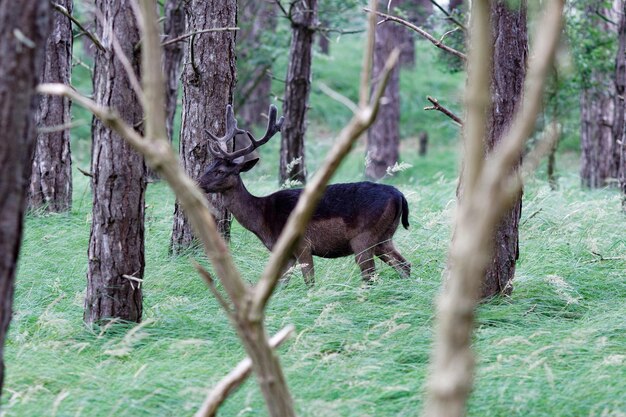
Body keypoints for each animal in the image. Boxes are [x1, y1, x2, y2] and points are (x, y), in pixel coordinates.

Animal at [196, 105, 410, 286]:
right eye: (209, 166)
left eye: (221, 171)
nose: (197, 182)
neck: (264, 218)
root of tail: (399, 195)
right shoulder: (286, 255)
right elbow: (280, 285)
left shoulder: (302, 246)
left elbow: (310, 283)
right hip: (384, 237)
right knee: (404, 265)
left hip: (363, 237)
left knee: (371, 276)